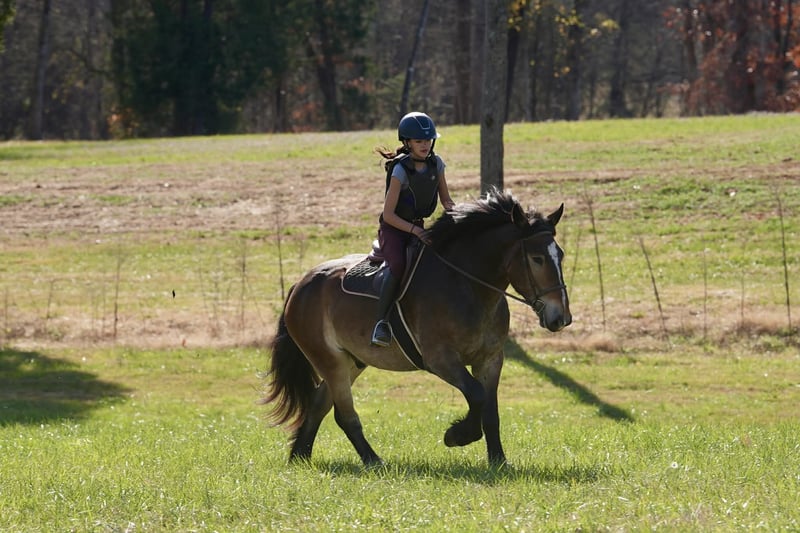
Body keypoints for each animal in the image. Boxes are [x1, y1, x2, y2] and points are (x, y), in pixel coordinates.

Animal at [263, 188, 571, 467]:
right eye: (537, 259)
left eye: (560, 255)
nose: (561, 318)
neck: (468, 287)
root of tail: (300, 285)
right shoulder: (441, 360)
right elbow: (476, 395)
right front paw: (457, 435)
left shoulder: (491, 360)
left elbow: (490, 411)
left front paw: (498, 461)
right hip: (330, 360)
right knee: (343, 414)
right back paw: (373, 461)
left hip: (351, 361)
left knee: (319, 404)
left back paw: (300, 456)